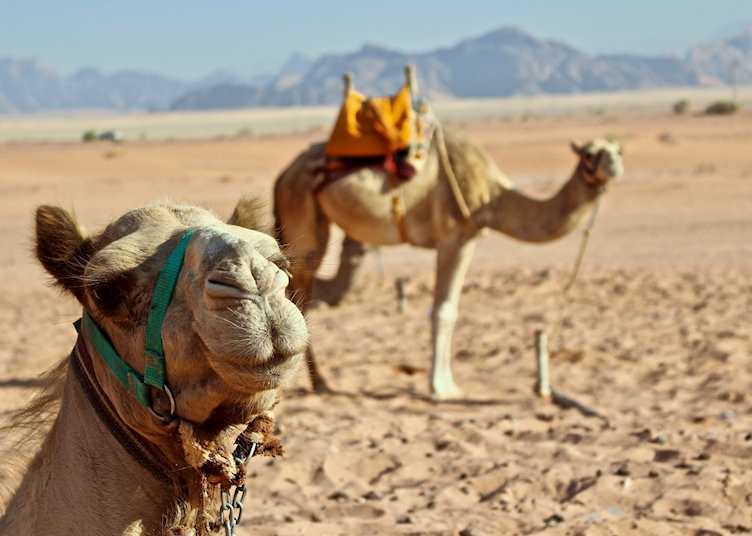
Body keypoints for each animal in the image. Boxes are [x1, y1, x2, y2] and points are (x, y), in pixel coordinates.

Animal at [249, 132, 623, 400]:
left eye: (618, 151)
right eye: (589, 154)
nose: (615, 168)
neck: (495, 198)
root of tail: (283, 175)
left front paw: (443, 384)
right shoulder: (456, 237)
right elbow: (444, 311)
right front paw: (443, 388)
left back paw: (317, 383)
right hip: (303, 215)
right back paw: (317, 383)